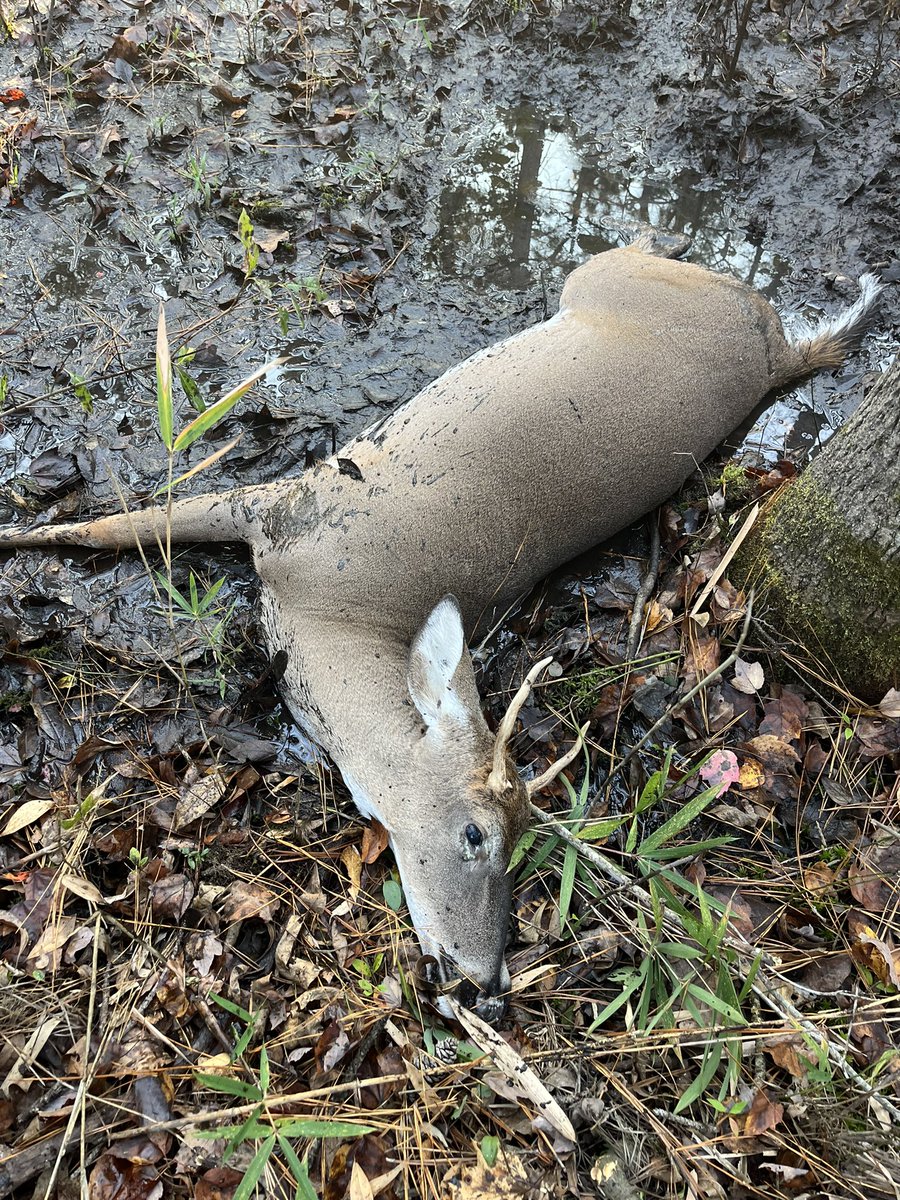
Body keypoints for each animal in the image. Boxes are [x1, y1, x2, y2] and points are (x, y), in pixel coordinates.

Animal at [0, 238, 882, 1022]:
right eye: (474, 833)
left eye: (520, 840)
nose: (484, 982)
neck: (334, 620)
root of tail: (773, 348)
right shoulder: (277, 508)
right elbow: (108, 527)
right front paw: (20, 534)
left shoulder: (280, 514)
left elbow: (116, 527)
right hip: (612, 281)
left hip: (610, 279)